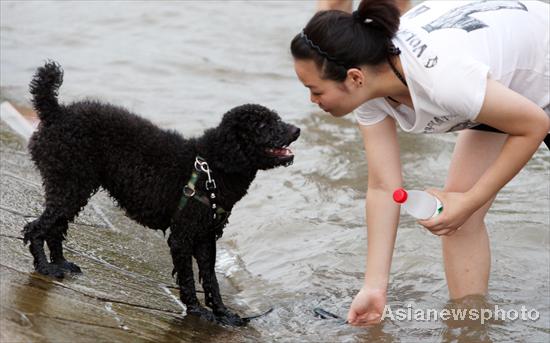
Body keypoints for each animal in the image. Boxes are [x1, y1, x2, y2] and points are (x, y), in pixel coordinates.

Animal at [22, 61, 302, 328]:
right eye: (262, 124)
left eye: (276, 118)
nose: (297, 130)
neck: (214, 166)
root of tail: (56, 112)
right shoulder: (182, 236)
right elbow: (188, 279)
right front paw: (198, 311)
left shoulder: (205, 237)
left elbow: (211, 280)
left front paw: (224, 314)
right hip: (70, 184)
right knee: (36, 228)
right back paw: (45, 267)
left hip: (73, 187)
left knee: (55, 227)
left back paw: (60, 263)